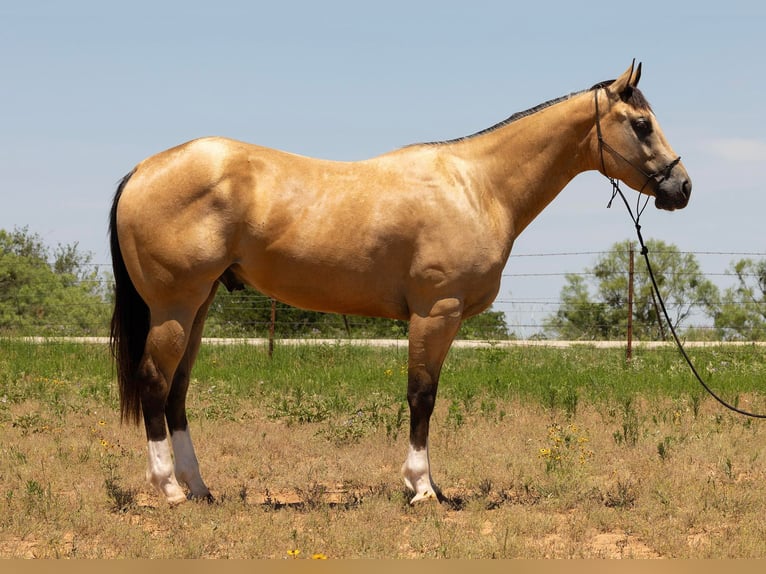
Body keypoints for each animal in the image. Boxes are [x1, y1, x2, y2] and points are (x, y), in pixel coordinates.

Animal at [111, 60, 692, 506]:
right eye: (642, 124)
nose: (682, 187)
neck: (477, 186)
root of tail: (143, 169)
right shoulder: (435, 313)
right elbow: (422, 397)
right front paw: (422, 488)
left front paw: (425, 485)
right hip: (175, 305)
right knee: (155, 383)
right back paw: (170, 490)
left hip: (198, 306)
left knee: (178, 391)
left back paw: (200, 489)